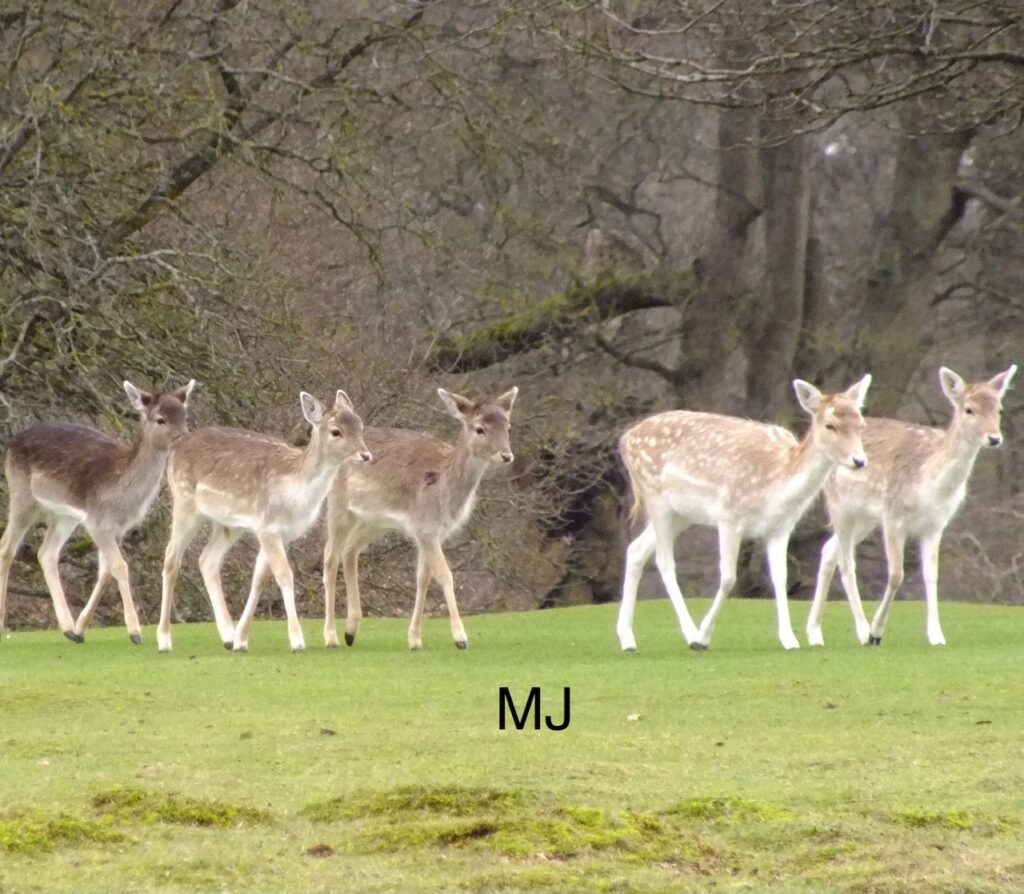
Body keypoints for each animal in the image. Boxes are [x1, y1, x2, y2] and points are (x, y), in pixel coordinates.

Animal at [0, 380, 195, 644]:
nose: (184, 439)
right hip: (21, 496)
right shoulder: (97, 521)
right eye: (161, 419)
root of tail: (10, 444)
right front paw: (135, 632)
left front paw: (81, 628)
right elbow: (120, 566)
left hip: (64, 516)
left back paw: (68, 627)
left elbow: (105, 570)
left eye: (185, 415)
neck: (120, 497)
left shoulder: (118, 527)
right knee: (7, 548)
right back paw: (3, 624)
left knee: (46, 553)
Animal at [156, 390, 370, 653]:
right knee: (171, 559)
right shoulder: (267, 527)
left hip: (229, 524)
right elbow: (285, 575)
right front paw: (297, 640)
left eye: (360, 425)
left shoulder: (280, 533)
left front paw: (241, 639)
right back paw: (164, 640)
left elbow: (259, 579)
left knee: (207, 560)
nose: (365, 455)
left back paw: (228, 636)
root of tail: (176, 447)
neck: (293, 492)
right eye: (336, 431)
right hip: (185, 503)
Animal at [322, 386, 518, 651]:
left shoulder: (433, 532)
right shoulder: (425, 527)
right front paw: (461, 638)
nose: (506, 456)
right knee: (330, 556)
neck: (444, 492)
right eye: (479, 428)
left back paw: (350, 631)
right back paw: (331, 636)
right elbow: (445, 574)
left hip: (374, 520)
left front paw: (414, 639)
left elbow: (423, 578)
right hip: (338, 505)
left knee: (349, 551)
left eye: (508, 426)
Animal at [617, 375, 871, 652]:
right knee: (664, 561)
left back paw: (627, 638)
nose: (859, 461)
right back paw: (690, 633)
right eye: (830, 425)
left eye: (861, 424)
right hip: (656, 498)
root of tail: (625, 439)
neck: (776, 485)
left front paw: (788, 639)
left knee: (635, 549)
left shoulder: (781, 528)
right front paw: (703, 637)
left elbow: (780, 577)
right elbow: (728, 578)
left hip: (680, 515)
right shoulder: (730, 516)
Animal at [806, 365, 1016, 648]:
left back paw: (814, 632)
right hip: (839, 505)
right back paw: (862, 631)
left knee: (829, 550)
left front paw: (936, 635)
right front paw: (876, 632)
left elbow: (931, 574)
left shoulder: (936, 524)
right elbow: (896, 574)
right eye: (969, 409)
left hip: (865, 518)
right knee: (845, 561)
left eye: (999, 409)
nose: (994, 438)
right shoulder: (893, 516)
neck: (930, 487)